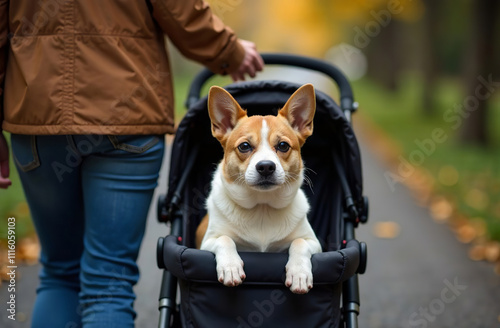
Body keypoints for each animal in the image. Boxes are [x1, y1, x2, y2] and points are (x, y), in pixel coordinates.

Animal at [195, 83, 320, 294]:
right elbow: (225, 239)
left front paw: (299, 273)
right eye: (244, 146)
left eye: (283, 145)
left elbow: (299, 242)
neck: (262, 207)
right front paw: (230, 266)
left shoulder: (314, 243)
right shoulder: (207, 242)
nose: (266, 166)